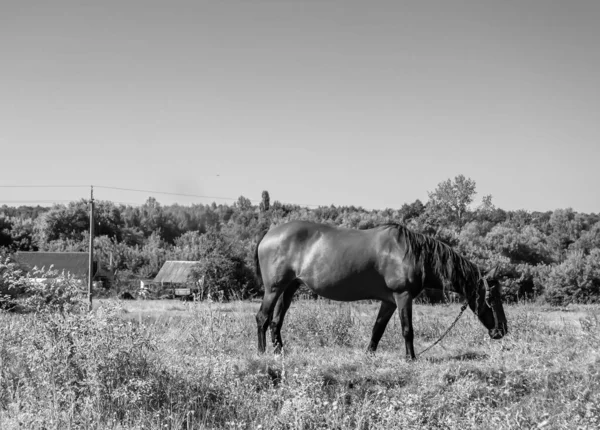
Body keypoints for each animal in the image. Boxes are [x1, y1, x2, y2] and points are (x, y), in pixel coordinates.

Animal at [253, 222, 506, 360]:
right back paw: (262, 353)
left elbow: (378, 328)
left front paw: (369, 354)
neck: (411, 253)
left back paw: (279, 352)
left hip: (289, 288)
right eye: (491, 297)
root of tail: (268, 235)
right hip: (273, 289)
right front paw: (411, 358)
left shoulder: (390, 301)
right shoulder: (403, 297)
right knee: (263, 318)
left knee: (276, 321)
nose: (501, 330)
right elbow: (407, 329)